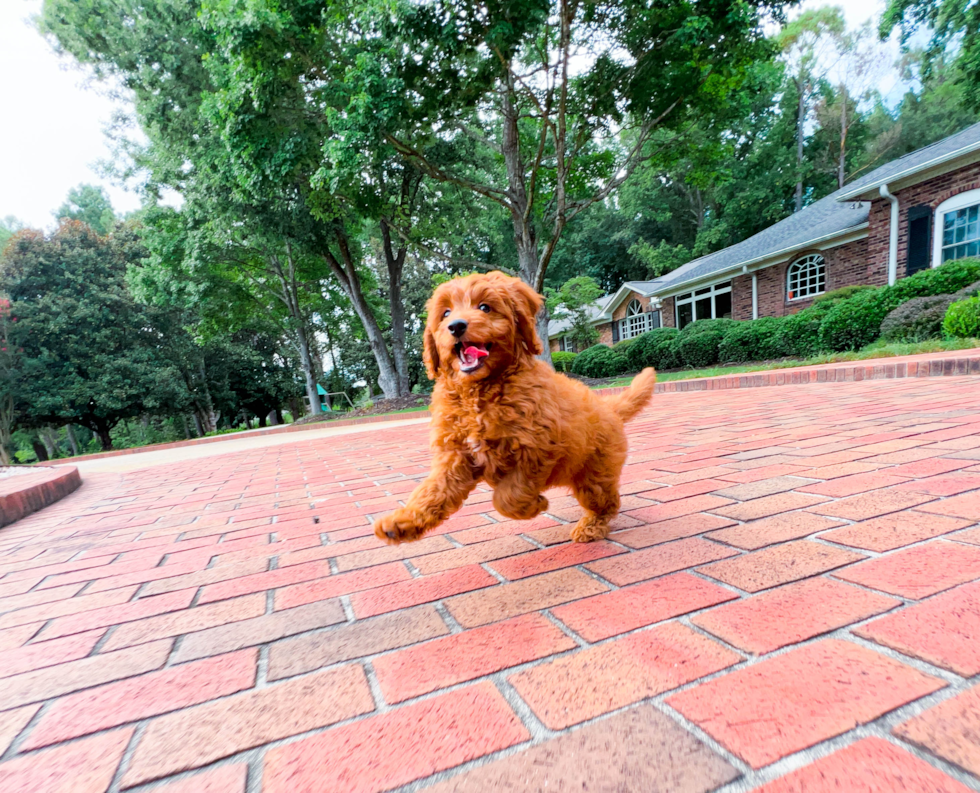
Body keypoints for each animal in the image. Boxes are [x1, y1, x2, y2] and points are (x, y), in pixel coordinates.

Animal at [372, 272, 656, 544]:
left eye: (484, 307)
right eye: (446, 313)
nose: (456, 326)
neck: (480, 393)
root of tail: (608, 406)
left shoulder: (536, 449)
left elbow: (508, 497)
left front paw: (535, 505)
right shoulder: (455, 457)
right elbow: (433, 491)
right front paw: (402, 522)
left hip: (594, 475)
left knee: (607, 502)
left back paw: (591, 527)